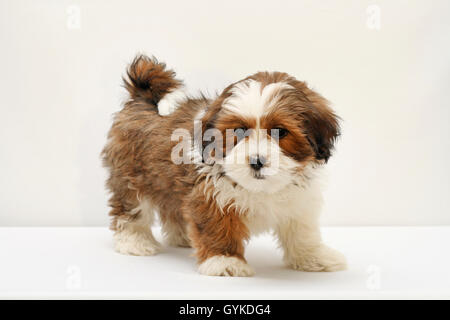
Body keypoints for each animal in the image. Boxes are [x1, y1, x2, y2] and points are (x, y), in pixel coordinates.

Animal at [103, 54, 348, 276]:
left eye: (281, 131)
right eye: (239, 131)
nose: (257, 161)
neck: (261, 188)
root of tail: (141, 99)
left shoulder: (298, 202)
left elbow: (302, 232)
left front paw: (314, 257)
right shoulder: (210, 195)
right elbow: (217, 227)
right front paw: (224, 261)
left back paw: (183, 237)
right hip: (130, 175)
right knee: (131, 209)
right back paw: (134, 241)